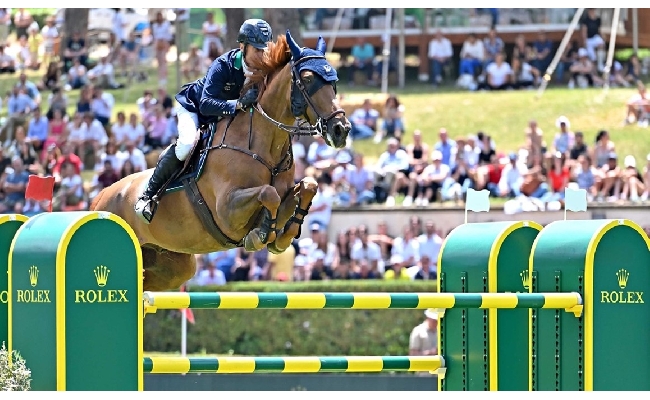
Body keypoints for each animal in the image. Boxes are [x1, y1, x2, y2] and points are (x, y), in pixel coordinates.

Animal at [91, 30, 350, 290]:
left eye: (334, 80)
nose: (341, 129)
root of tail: (98, 198)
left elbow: (308, 186)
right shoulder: (227, 210)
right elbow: (268, 193)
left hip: (173, 266)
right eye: (307, 79)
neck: (263, 146)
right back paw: (144, 203)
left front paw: (282, 237)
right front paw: (260, 235)